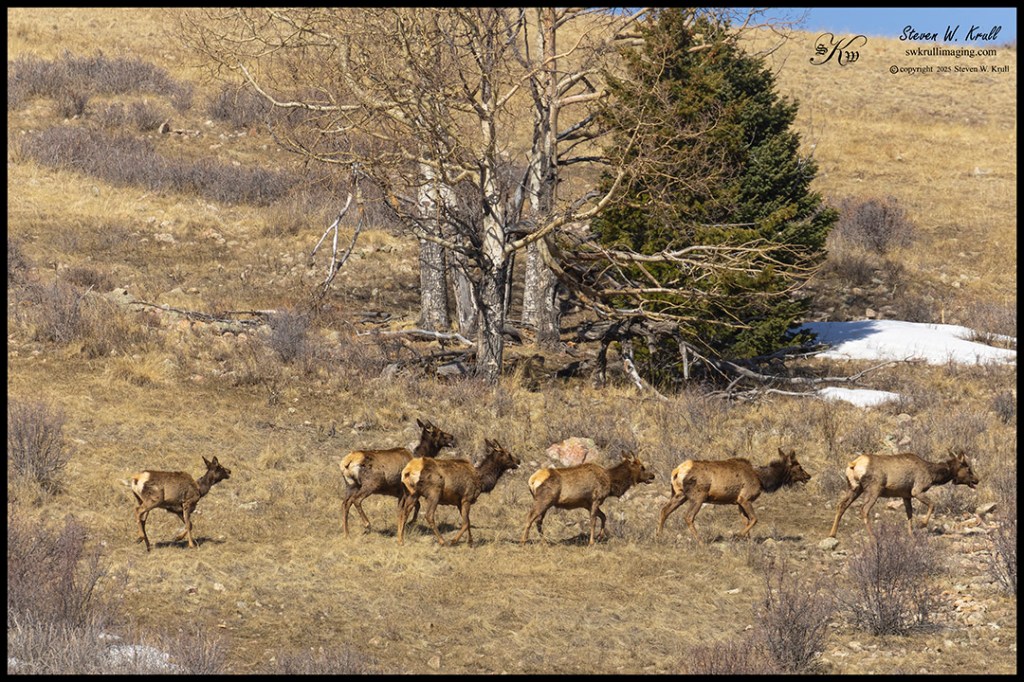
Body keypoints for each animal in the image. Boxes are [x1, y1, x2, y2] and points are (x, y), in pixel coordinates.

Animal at [521, 451, 656, 546]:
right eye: (642, 467)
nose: (652, 475)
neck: (611, 482)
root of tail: (532, 480)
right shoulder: (596, 499)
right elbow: (593, 520)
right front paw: (591, 542)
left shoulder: (587, 504)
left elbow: (603, 516)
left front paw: (600, 536)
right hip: (544, 500)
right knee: (530, 517)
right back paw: (523, 541)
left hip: (546, 503)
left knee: (538, 521)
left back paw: (544, 541)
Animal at [657, 448, 811, 543]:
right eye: (799, 466)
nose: (808, 476)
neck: (763, 480)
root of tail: (676, 471)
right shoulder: (745, 498)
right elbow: (754, 519)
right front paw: (737, 536)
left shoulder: (738, 502)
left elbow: (746, 520)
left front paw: (748, 541)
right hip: (698, 496)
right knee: (688, 517)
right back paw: (700, 541)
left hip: (679, 495)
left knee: (664, 510)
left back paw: (659, 536)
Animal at [827, 449, 979, 539]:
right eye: (968, 468)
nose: (977, 480)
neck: (933, 475)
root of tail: (853, 465)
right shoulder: (916, 490)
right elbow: (932, 504)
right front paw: (922, 525)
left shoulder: (906, 495)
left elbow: (909, 514)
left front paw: (911, 535)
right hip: (873, 488)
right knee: (863, 509)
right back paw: (873, 537)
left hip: (854, 488)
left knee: (841, 505)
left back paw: (832, 534)